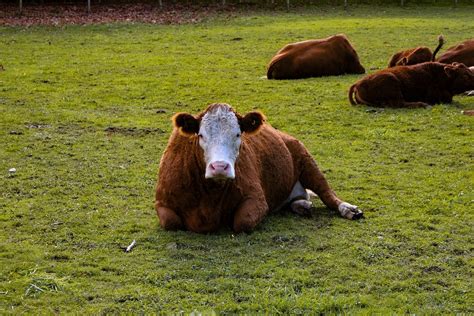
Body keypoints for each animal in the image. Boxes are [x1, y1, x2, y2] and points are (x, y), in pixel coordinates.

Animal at [156, 103, 362, 232]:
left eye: (238, 134)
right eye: (201, 135)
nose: (220, 167)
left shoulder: (257, 199)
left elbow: (243, 222)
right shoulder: (162, 203)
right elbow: (171, 222)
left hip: (307, 160)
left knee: (327, 193)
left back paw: (348, 209)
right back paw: (302, 205)